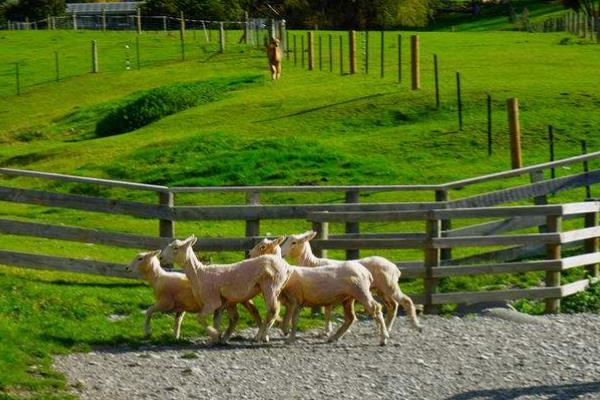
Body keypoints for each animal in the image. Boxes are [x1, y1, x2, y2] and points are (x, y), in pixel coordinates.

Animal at [159, 234, 290, 344]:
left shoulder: (212, 301)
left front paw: (214, 334)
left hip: (271, 286)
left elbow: (199, 318)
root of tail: (284, 265)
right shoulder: (220, 305)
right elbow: (216, 321)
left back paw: (261, 336)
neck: (199, 273)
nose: (160, 257)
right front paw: (215, 338)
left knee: (273, 310)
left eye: (175, 248)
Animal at [247, 236, 390, 346]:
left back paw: (384, 338)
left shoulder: (295, 300)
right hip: (348, 298)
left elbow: (289, 319)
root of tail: (365, 271)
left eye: (262, 247)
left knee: (376, 308)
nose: (249, 254)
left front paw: (284, 336)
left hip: (361, 291)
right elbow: (289, 319)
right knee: (350, 318)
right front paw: (287, 334)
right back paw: (334, 337)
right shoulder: (293, 302)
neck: (287, 271)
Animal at [280, 230, 422, 332]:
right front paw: (328, 330)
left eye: (294, 242)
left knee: (406, 301)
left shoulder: (327, 290)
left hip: (389, 285)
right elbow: (327, 310)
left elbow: (327, 310)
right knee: (393, 305)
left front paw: (327, 330)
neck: (312, 263)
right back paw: (386, 328)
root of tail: (394, 267)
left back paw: (416, 326)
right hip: (381, 289)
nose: (281, 254)